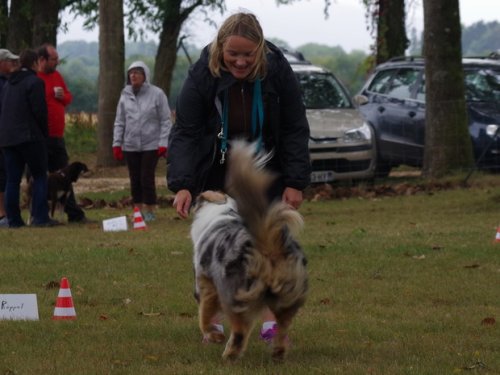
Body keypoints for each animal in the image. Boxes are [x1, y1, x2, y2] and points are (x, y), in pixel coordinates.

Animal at [191, 141, 308, 362]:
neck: (221, 213)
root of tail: (268, 246)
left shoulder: (206, 284)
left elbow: (204, 316)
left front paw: (214, 335)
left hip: (234, 294)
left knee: (239, 330)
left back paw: (229, 354)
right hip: (288, 295)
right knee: (282, 327)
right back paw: (278, 351)